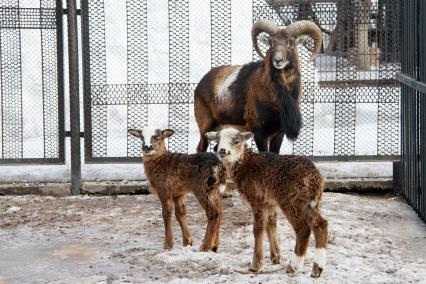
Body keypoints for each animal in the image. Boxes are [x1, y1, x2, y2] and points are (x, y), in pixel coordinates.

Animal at [206, 127, 330, 278]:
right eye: (217, 140)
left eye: (236, 141)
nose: (222, 150)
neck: (245, 165)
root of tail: (314, 178)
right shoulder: (270, 203)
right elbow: (271, 225)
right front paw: (275, 256)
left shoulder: (257, 200)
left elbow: (258, 229)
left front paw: (255, 265)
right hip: (310, 202)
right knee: (320, 224)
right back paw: (317, 269)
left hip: (291, 201)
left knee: (303, 229)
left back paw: (293, 267)